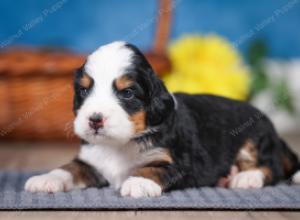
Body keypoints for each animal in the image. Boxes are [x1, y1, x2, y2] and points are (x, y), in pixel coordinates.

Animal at [24, 41, 300, 198]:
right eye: (83, 91)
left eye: (127, 93)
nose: (94, 120)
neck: (121, 143)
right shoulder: (91, 161)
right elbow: (69, 168)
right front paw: (45, 179)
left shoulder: (182, 163)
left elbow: (154, 169)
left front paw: (138, 182)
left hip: (255, 137)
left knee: (272, 166)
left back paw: (246, 177)